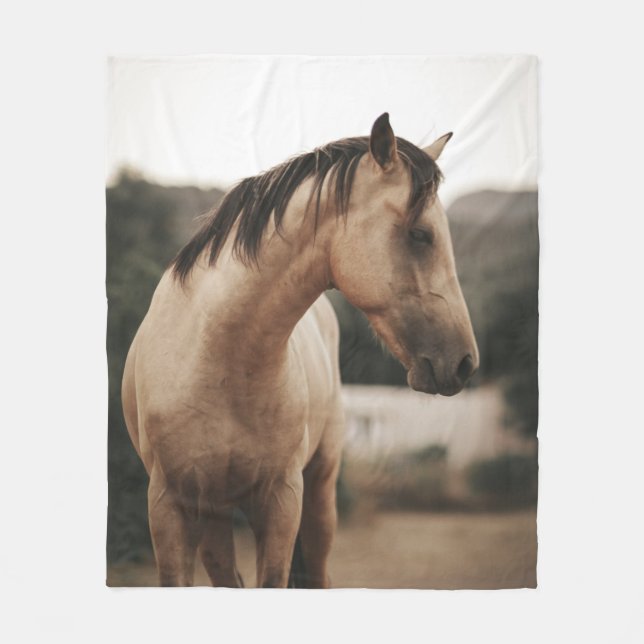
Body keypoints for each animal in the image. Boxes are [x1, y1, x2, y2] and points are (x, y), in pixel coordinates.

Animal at [121, 113, 479, 588]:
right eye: (420, 234)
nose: (465, 362)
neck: (218, 358)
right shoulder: (170, 506)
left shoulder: (281, 501)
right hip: (214, 514)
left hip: (319, 494)